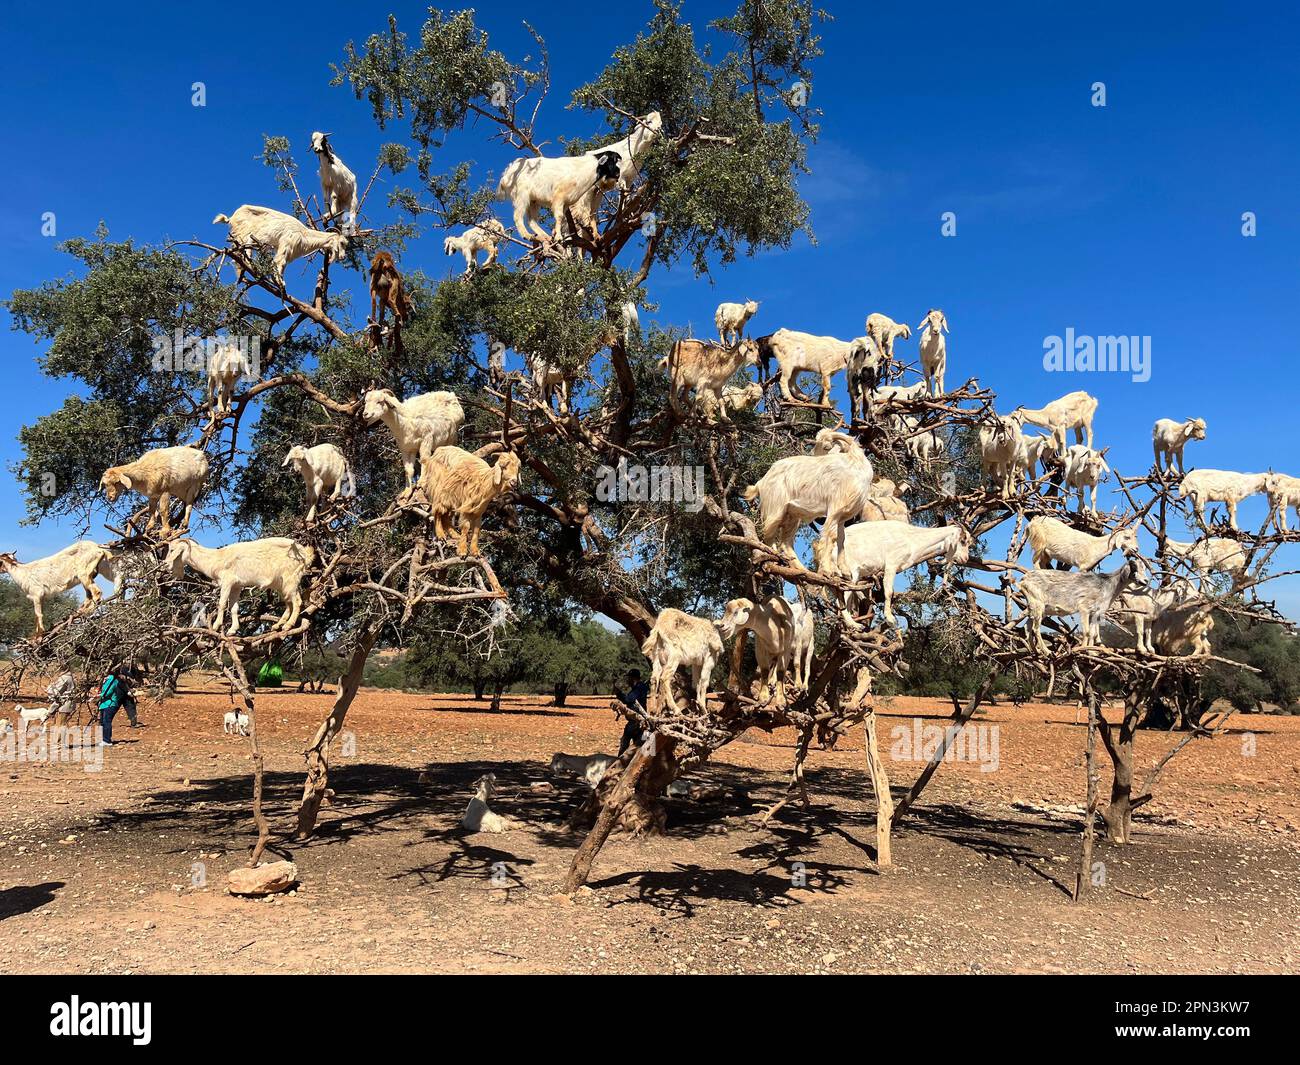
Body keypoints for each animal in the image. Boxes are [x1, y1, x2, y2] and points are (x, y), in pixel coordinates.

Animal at [165, 538, 314, 637]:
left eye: (172, 550)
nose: (165, 564)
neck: (216, 557)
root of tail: (305, 554)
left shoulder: (227, 581)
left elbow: (222, 603)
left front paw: (216, 625)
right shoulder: (237, 586)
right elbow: (234, 608)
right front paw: (232, 630)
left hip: (290, 580)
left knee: (297, 601)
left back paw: (288, 625)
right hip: (283, 584)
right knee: (289, 603)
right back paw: (278, 625)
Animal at [211, 204, 348, 284]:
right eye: (342, 243)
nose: (342, 257)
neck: (304, 234)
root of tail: (232, 217)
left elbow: (283, 264)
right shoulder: (286, 244)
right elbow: (280, 262)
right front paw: (280, 282)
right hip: (243, 234)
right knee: (242, 252)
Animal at [743, 431, 873, 569]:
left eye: (826, 447)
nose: (813, 455)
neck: (855, 464)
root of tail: (761, 482)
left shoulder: (843, 516)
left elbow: (841, 539)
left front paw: (845, 570)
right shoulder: (835, 510)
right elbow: (830, 536)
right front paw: (827, 570)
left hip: (792, 515)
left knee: (785, 542)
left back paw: (801, 569)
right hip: (775, 508)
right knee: (769, 536)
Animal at [816, 522, 972, 629]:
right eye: (963, 540)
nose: (965, 559)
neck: (911, 538)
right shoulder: (891, 565)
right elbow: (889, 591)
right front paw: (890, 619)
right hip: (850, 573)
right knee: (841, 598)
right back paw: (854, 624)